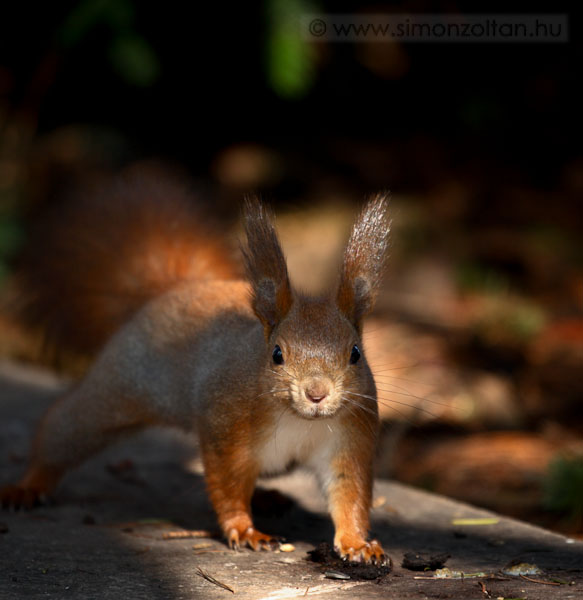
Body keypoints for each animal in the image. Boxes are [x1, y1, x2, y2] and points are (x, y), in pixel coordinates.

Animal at [2, 168, 392, 564]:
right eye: (277, 354)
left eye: (355, 353)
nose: (316, 393)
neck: (300, 419)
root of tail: (174, 290)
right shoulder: (225, 425)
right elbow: (226, 483)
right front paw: (245, 530)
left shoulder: (351, 437)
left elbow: (349, 494)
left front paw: (357, 543)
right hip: (117, 386)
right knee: (65, 426)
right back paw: (27, 486)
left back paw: (268, 498)